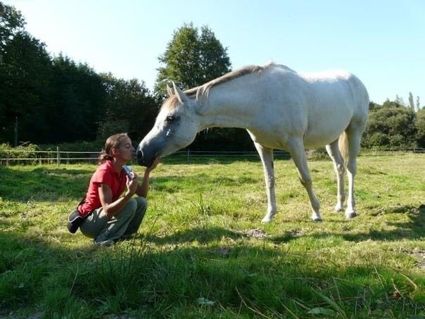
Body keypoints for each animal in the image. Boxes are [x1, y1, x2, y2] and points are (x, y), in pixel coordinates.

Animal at [136, 62, 368, 222]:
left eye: (171, 118)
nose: (141, 153)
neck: (262, 98)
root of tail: (355, 80)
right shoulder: (262, 147)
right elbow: (269, 180)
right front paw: (269, 215)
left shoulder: (295, 144)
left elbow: (306, 179)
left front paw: (316, 214)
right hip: (332, 139)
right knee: (339, 167)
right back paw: (339, 206)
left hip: (354, 130)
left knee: (351, 169)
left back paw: (350, 210)